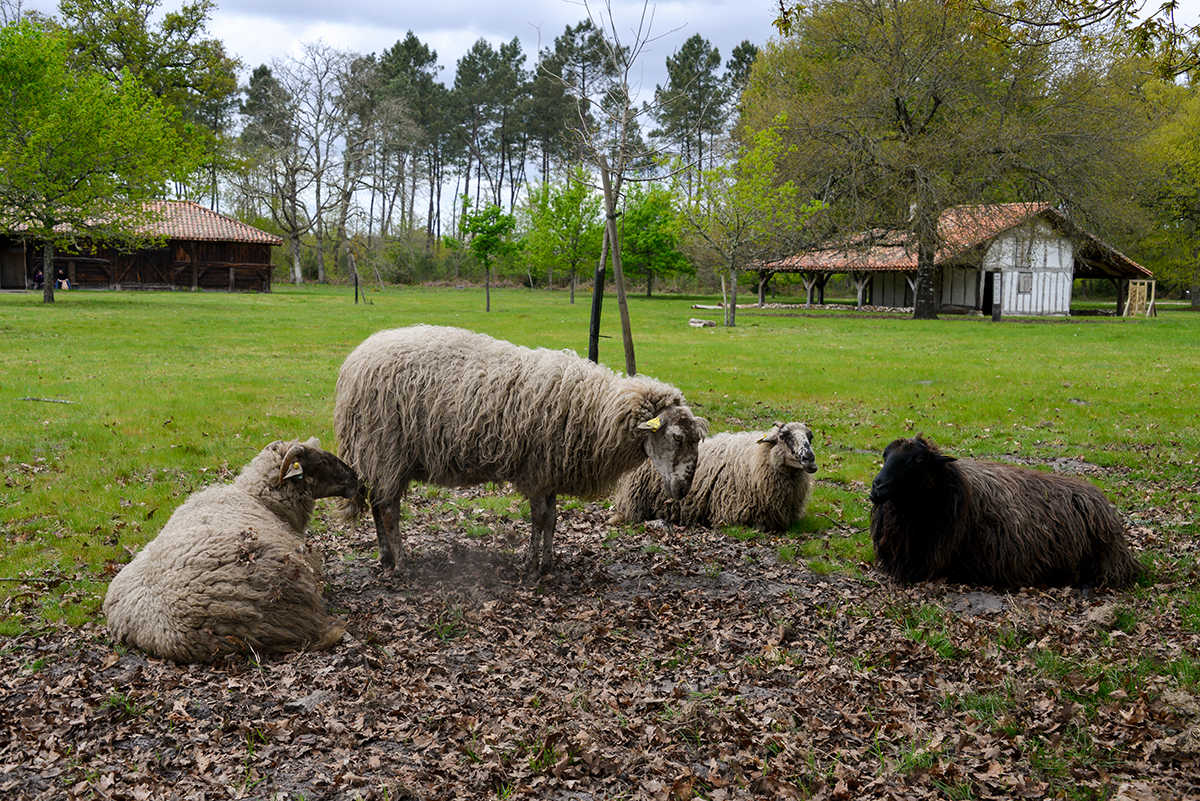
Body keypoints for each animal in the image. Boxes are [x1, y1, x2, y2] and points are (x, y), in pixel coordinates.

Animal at [333, 326, 705, 575]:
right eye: (676, 438)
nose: (684, 490)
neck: (594, 410)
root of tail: (355, 361)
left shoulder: (551, 472)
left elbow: (553, 519)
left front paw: (548, 563)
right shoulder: (537, 470)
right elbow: (539, 518)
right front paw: (530, 565)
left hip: (378, 455)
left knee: (378, 505)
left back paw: (385, 556)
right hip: (386, 449)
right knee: (389, 510)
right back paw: (402, 564)